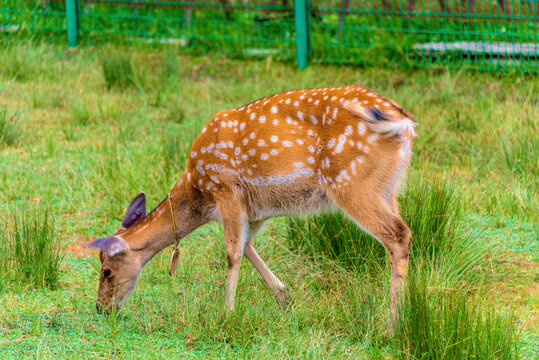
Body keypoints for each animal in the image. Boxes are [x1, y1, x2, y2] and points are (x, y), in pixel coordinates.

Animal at [89, 85, 418, 332]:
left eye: (106, 271)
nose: (101, 307)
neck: (198, 193)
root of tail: (403, 122)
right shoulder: (256, 209)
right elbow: (247, 246)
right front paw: (285, 297)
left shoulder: (226, 188)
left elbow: (233, 251)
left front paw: (227, 311)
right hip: (389, 187)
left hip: (351, 181)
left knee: (398, 234)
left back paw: (392, 326)